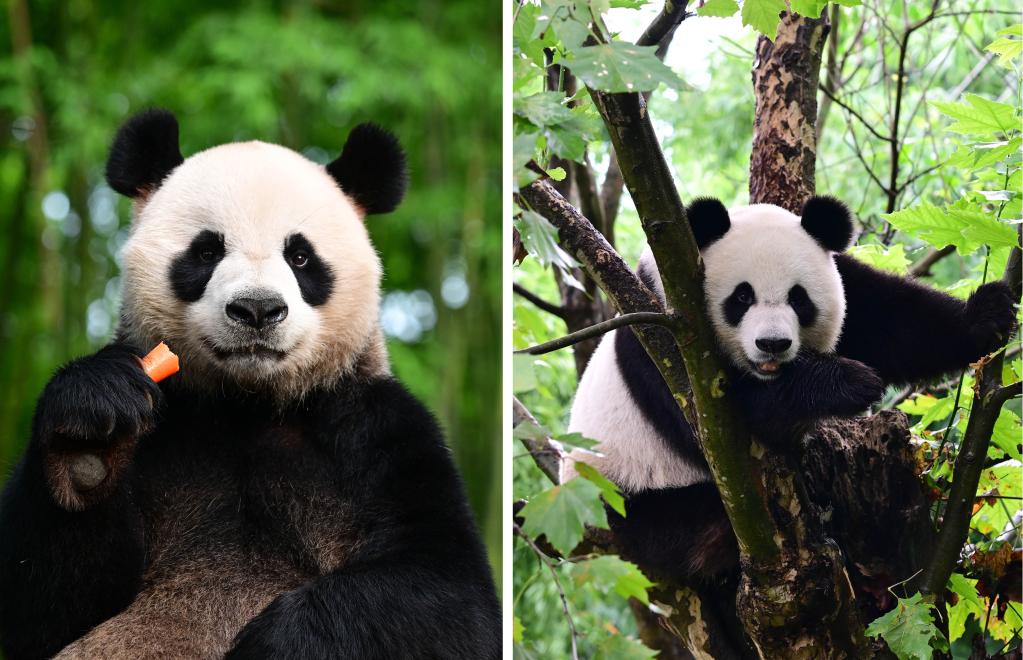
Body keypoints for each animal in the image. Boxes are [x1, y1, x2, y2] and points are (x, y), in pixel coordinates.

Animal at [0, 109, 499, 658]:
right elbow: (42, 601)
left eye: (300, 257)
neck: (248, 403)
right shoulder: (167, 428)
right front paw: (91, 436)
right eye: (206, 251)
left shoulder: (374, 429)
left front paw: (281, 639)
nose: (257, 309)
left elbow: (451, 598)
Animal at [564, 195, 1018, 581]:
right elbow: (726, 418)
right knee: (695, 525)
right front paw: (849, 382)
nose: (773, 344)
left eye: (799, 299)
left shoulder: (848, 283)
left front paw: (988, 314)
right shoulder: (664, 339)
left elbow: (894, 321)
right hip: (637, 499)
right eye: (741, 297)